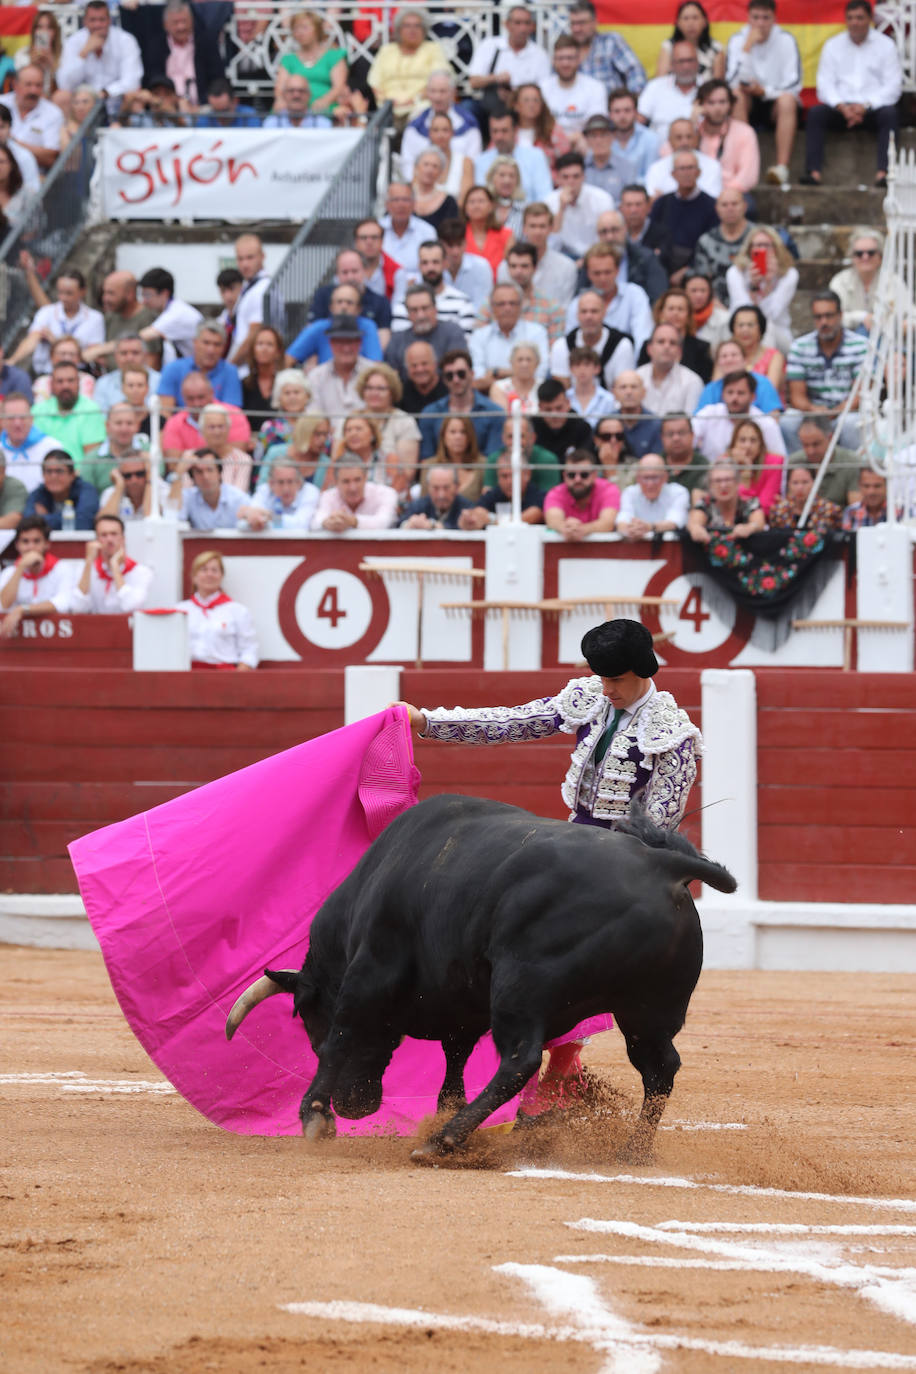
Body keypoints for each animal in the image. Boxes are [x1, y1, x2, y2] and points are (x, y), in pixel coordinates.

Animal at [229, 796, 736, 1159]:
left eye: (309, 1018)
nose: (357, 1105)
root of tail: (661, 865)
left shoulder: (369, 974)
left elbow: (341, 1037)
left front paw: (314, 1116)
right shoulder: (461, 1009)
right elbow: (454, 1065)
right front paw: (442, 1111)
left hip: (521, 988)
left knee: (520, 1059)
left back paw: (444, 1142)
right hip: (646, 1012)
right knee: (659, 1068)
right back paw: (633, 1151)